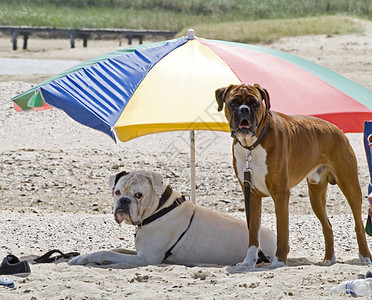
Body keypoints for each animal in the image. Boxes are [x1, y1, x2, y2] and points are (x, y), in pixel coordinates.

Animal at [69, 170, 276, 266]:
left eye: (138, 195)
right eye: (117, 192)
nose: (123, 201)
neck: (159, 209)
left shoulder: (147, 258)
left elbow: (108, 253)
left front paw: (85, 258)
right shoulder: (139, 252)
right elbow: (114, 249)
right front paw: (82, 256)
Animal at [215, 83, 372, 268]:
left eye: (255, 104)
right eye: (232, 103)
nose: (244, 110)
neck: (252, 146)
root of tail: (338, 130)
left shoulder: (281, 194)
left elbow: (282, 231)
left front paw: (278, 262)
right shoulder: (251, 195)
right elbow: (253, 233)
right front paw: (248, 262)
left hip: (350, 186)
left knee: (358, 224)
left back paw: (365, 256)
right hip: (316, 196)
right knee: (327, 226)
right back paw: (328, 259)